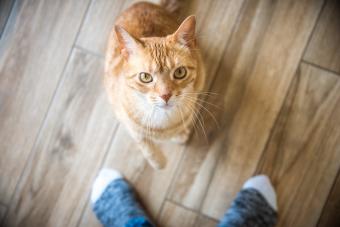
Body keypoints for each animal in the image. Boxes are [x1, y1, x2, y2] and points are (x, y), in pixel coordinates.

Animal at [104, 0, 205, 169]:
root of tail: (141, 4)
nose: (165, 95)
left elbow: (182, 127)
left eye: (180, 72)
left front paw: (181, 135)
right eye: (145, 77)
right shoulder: (128, 123)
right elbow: (144, 144)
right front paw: (158, 161)